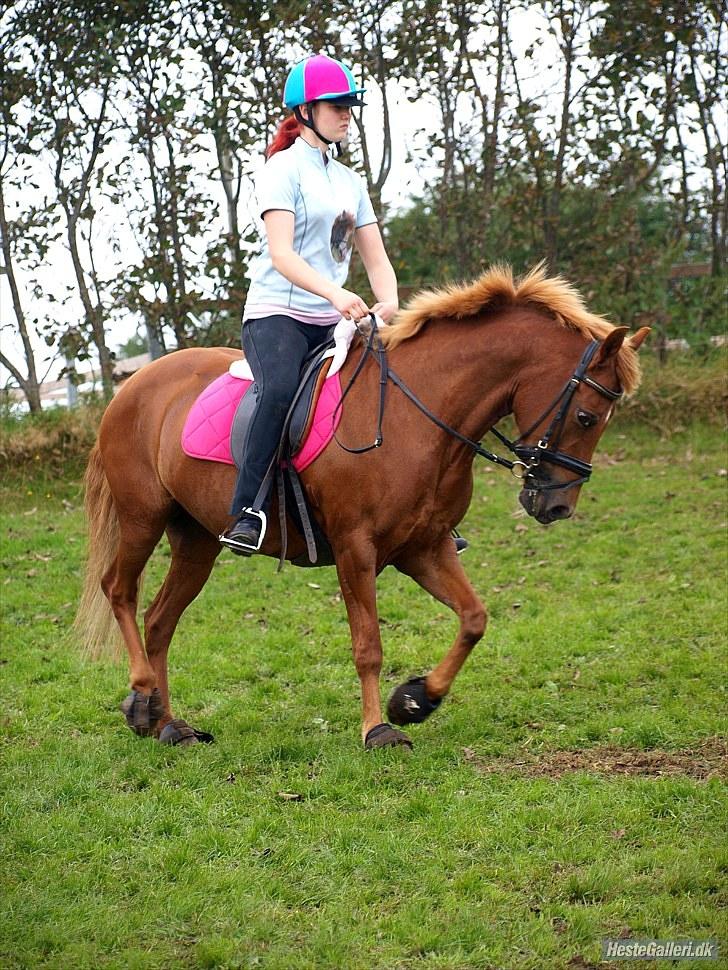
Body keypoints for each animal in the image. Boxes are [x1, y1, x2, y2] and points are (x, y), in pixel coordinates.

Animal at [75, 265, 649, 749]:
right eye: (586, 417)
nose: (556, 506)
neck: (417, 418)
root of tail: (132, 387)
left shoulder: (425, 547)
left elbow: (474, 619)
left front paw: (415, 700)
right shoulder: (356, 548)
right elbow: (368, 643)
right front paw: (378, 730)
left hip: (195, 540)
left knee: (159, 621)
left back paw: (169, 724)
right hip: (142, 518)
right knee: (119, 590)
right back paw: (143, 699)